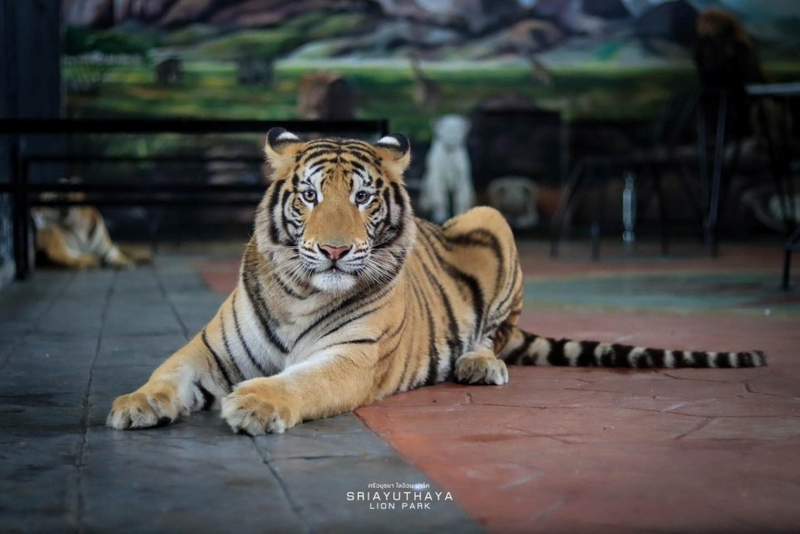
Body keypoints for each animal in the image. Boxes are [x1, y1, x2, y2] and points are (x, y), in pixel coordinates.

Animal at [107, 128, 767, 435]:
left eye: (363, 198)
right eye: (310, 195)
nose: (335, 249)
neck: (300, 295)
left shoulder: (349, 359)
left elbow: (299, 381)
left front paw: (256, 403)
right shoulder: (206, 350)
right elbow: (166, 373)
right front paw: (134, 404)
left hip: (491, 218)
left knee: (497, 334)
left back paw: (479, 363)